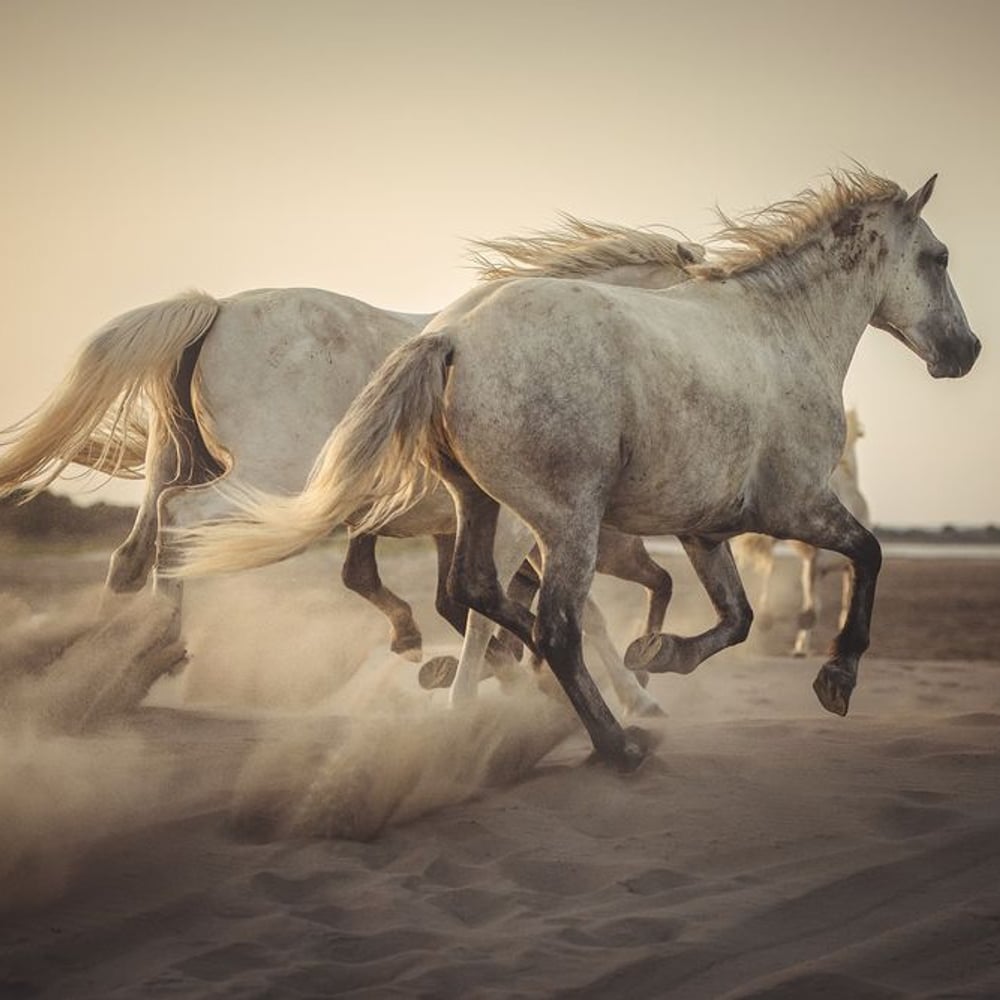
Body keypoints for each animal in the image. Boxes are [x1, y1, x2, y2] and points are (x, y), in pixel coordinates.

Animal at [0, 219, 704, 717]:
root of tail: (217, 308)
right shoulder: (529, 523)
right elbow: (564, 611)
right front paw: (633, 698)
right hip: (267, 484)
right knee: (181, 524)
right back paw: (156, 657)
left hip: (173, 469)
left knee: (131, 552)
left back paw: (110, 670)